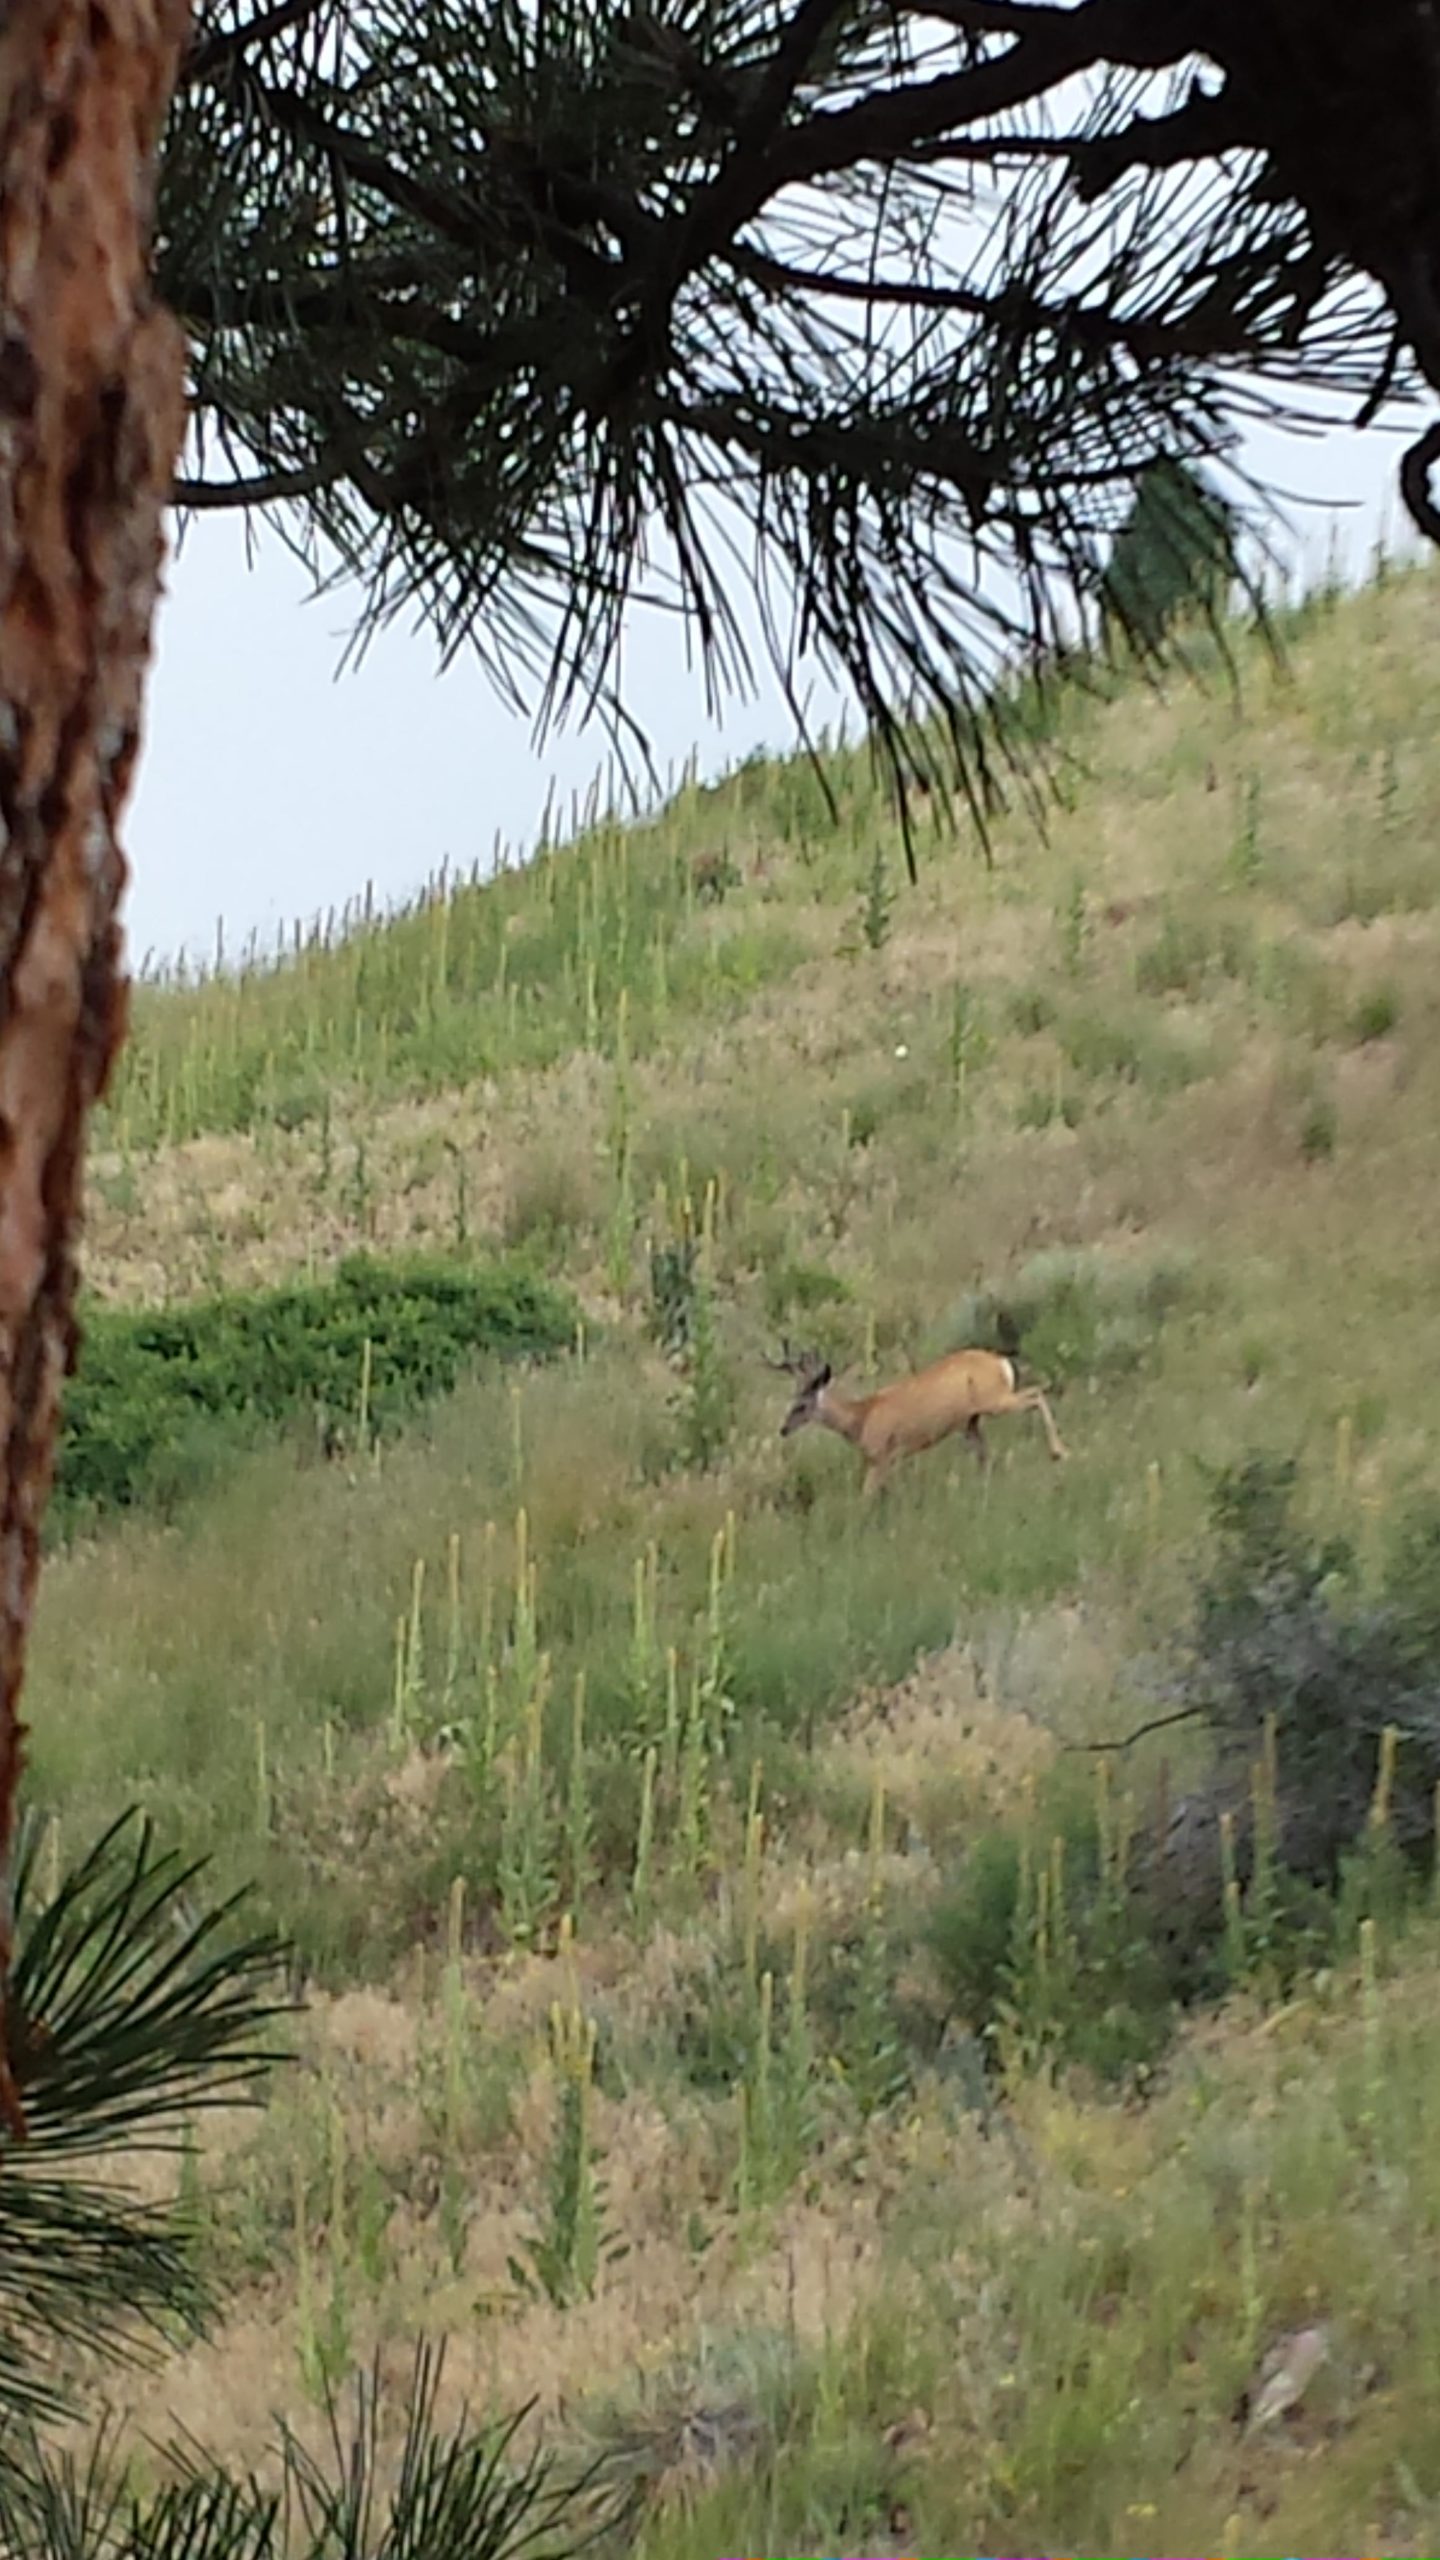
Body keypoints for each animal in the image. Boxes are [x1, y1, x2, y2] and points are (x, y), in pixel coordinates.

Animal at [767, 1337, 1069, 1498]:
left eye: (802, 1405)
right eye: (792, 1401)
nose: (782, 1429)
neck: (861, 1418)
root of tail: (1001, 1363)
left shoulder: (881, 1456)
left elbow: (866, 1497)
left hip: (995, 1400)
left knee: (1036, 1394)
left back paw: (1059, 1452)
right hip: (971, 1421)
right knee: (986, 1457)